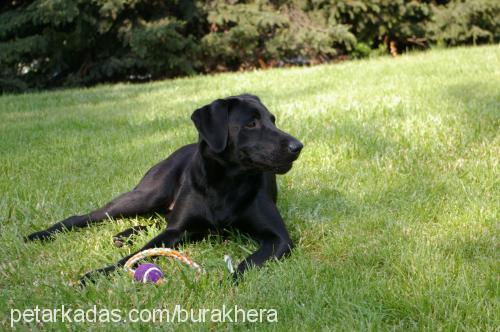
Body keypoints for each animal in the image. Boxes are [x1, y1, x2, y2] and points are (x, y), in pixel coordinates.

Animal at [25, 94, 302, 282]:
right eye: (251, 124)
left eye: (273, 120)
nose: (297, 146)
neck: (224, 184)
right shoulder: (175, 231)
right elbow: (137, 254)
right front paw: (98, 273)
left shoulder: (278, 238)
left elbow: (248, 264)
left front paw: (227, 283)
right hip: (147, 195)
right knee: (86, 217)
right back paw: (40, 235)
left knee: (154, 220)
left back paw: (123, 235)